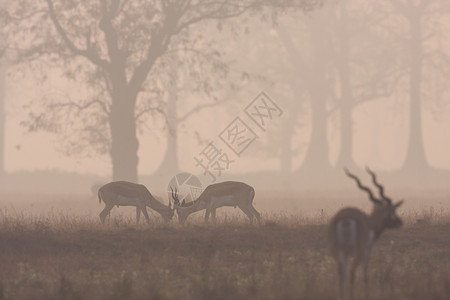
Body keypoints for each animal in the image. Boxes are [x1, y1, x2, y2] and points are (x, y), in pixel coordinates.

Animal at [326, 168, 404, 298]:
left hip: (337, 251)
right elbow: (365, 274)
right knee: (352, 272)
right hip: (358, 251)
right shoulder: (367, 250)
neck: (370, 223)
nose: (400, 222)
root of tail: (345, 218)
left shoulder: (346, 253)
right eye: (392, 210)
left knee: (342, 275)